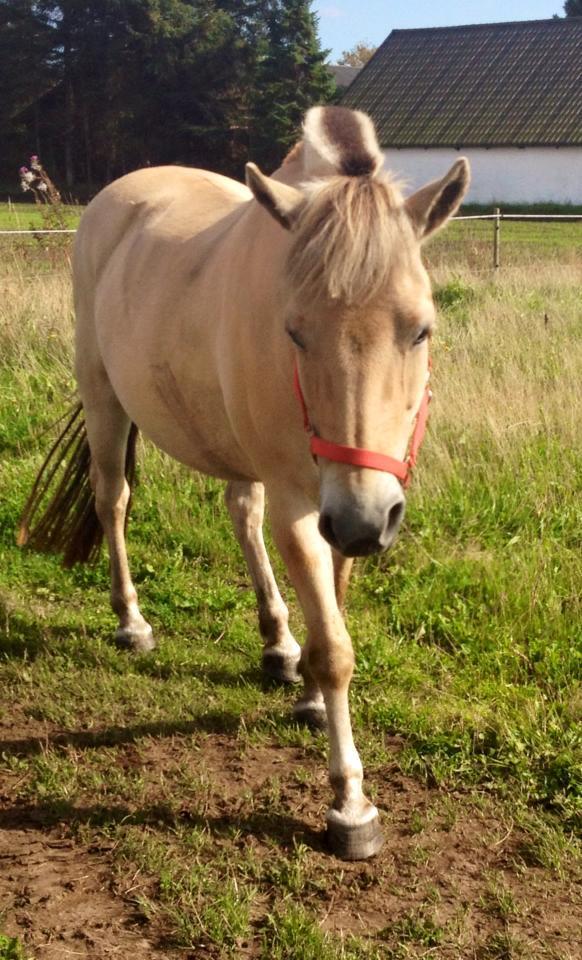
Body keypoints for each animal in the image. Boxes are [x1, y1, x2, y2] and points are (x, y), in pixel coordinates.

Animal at [20, 107, 472, 864]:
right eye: (294, 331)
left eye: (421, 330)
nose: (363, 522)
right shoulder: (307, 507)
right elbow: (337, 651)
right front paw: (350, 803)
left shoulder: (349, 501)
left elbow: (333, 605)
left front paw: (308, 691)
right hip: (105, 398)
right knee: (114, 502)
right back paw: (132, 622)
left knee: (239, 513)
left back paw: (276, 643)